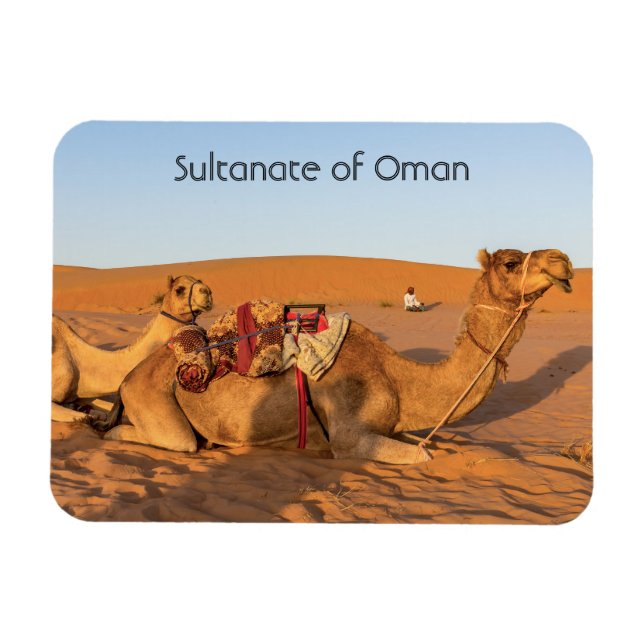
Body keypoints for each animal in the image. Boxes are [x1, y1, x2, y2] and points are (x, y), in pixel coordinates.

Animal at [98, 249, 574, 464]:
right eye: (511, 263)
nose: (564, 260)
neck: (399, 379)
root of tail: (129, 377)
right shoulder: (348, 434)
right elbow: (423, 455)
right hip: (155, 401)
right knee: (161, 439)